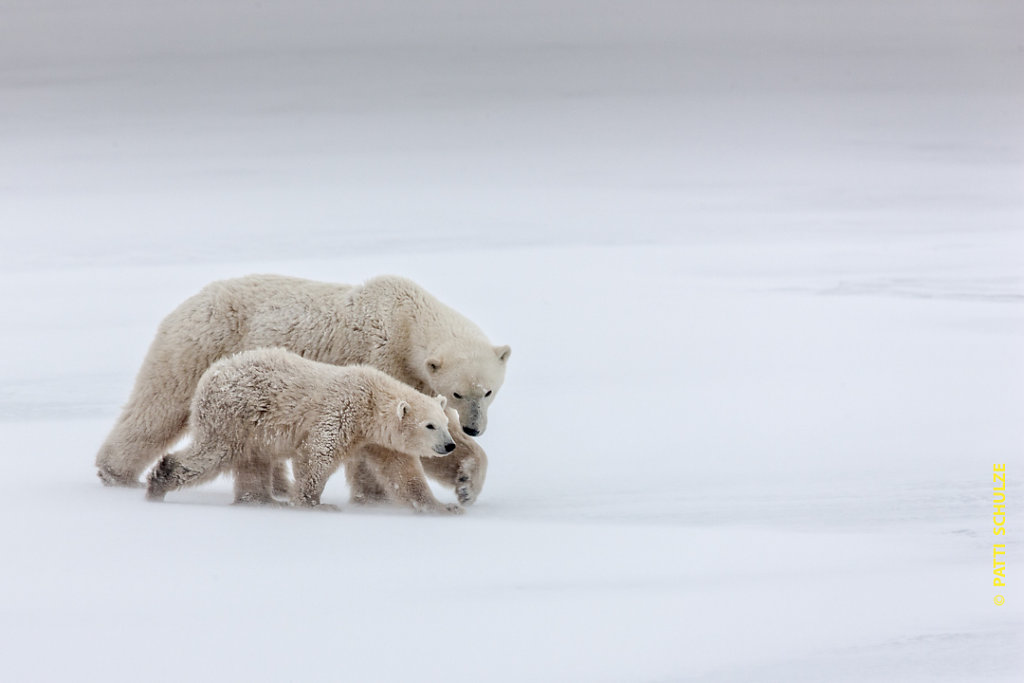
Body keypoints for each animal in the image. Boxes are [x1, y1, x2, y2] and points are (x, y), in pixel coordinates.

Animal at [96, 274, 507, 507]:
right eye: (459, 393)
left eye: (488, 392)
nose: (473, 427)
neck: (406, 319)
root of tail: (189, 302)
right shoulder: (380, 358)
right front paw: (373, 497)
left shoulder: (413, 378)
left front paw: (466, 482)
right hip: (200, 345)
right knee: (160, 404)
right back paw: (115, 473)